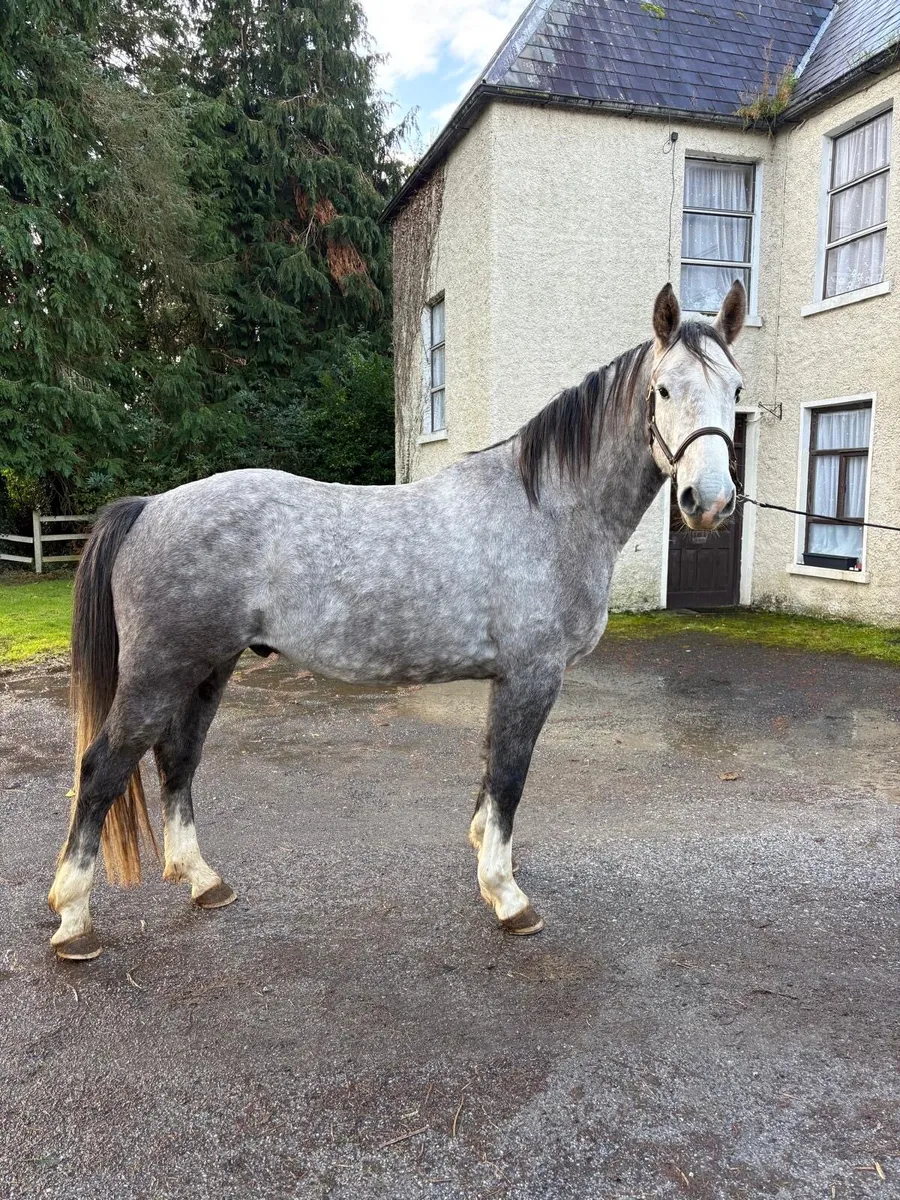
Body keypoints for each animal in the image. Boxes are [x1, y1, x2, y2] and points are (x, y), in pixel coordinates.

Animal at [48, 280, 747, 960]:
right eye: (664, 389)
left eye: (737, 390)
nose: (709, 502)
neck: (546, 510)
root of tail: (150, 506)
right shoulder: (532, 675)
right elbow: (511, 776)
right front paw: (507, 897)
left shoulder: (506, 679)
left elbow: (491, 768)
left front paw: (485, 857)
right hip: (160, 672)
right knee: (103, 767)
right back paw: (75, 919)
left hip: (207, 668)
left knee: (177, 759)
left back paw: (202, 880)